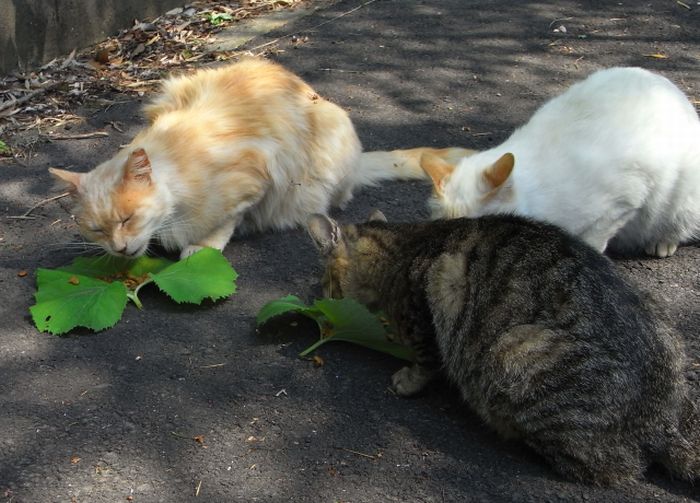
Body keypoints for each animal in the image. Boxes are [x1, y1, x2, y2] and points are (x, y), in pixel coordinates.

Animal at [48, 57, 472, 259]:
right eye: (97, 230)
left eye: (127, 219)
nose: (119, 249)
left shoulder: (258, 170)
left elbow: (226, 221)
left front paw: (202, 246)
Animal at [306, 210, 699, 485]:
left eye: (325, 282)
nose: (319, 298)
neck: (401, 246)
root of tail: (662, 422)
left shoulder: (431, 293)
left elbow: (425, 358)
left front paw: (407, 380)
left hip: (514, 350)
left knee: (611, 469)